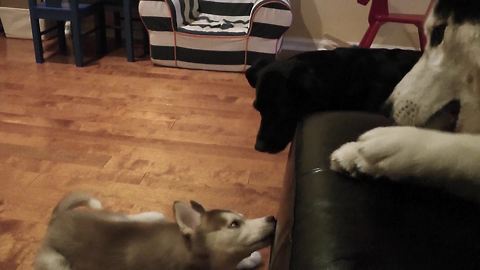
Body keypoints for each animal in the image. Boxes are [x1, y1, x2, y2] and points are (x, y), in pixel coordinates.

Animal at [35, 193, 276, 268]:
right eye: (234, 224)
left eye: (243, 216)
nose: (273, 217)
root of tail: (57, 219)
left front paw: (251, 259)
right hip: (57, 263)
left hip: (131, 218)